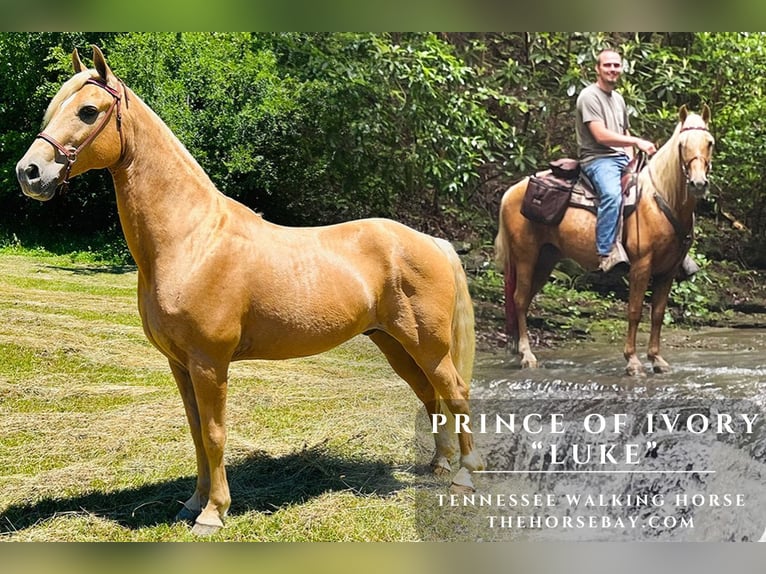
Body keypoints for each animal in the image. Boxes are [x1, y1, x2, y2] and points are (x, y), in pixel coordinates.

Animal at [15, 46, 484, 535]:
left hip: (428, 344)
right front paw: (191, 503)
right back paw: (438, 466)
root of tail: (431, 241)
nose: (29, 172)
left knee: (455, 394)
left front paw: (213, 513)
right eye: (54, 108)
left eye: (88, 111)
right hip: (394, 343)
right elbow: (196, 432)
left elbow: (215, 433)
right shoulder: (179, 364)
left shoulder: (209, 363)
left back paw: (464, 476)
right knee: (430, 396)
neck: (192, 239)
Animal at [495, 105, 714, 376]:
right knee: (519, 299)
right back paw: (527, 355)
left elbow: (658, 314)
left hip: (546, 259)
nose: (698, 183)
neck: (661, 198)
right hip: (526, 255)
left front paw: (656, 359)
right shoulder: (642, 266)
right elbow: (634, 311)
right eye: (682, 144)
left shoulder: (669, 271)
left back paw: (518, 351)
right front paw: (632, 361)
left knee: (523, 300)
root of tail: (511, 191)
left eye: (709, 143)